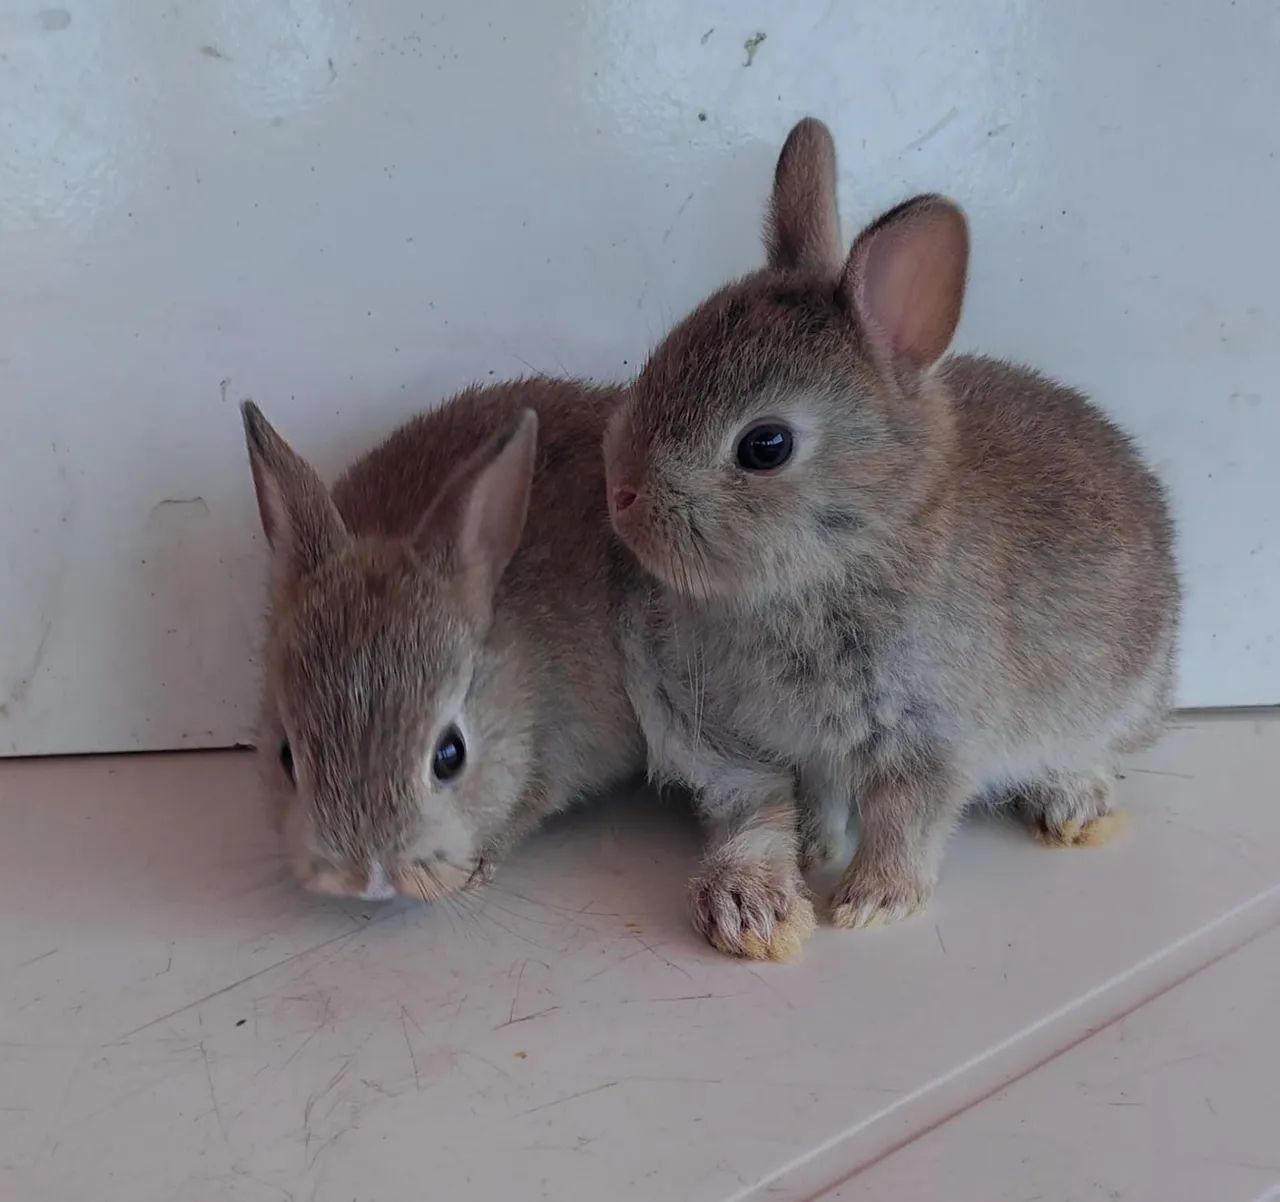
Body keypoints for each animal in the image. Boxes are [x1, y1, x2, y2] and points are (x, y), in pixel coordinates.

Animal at [603, 117, 1178, 959]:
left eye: (765, 446)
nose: (619, 496)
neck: (858, 549)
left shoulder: (927, 740)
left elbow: (908, 821)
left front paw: (872, 902)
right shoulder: (799, 746)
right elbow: (811, 798)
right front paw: (813, 851)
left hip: (1118, 697)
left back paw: (1074, 805)